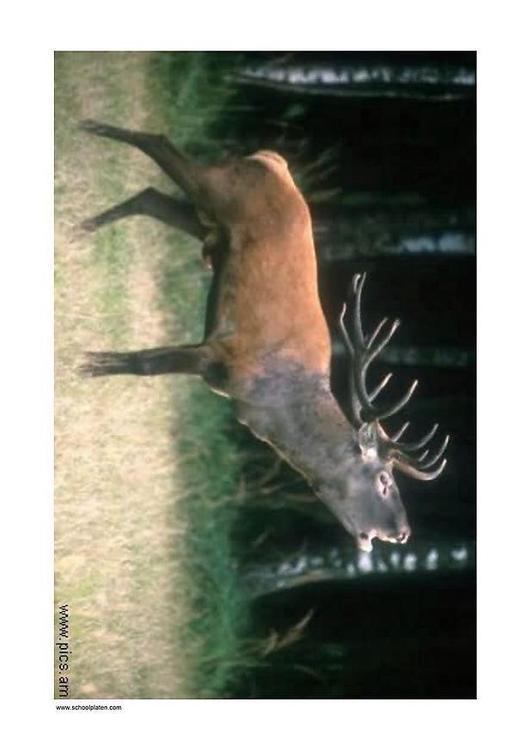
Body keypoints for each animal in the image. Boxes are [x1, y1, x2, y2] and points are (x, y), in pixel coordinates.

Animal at [78, 120, 449, 553]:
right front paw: (87, 365)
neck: (269, 407)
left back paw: (81, 226)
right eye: (384, 480)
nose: (403, 532)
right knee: (159, 143)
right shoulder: (223, 356)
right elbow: (144, 364)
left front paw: (90, 363)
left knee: (150, 196)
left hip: (209, 225)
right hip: (222, 188)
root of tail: (272, 160)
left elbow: (144, 363)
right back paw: (88, 128)